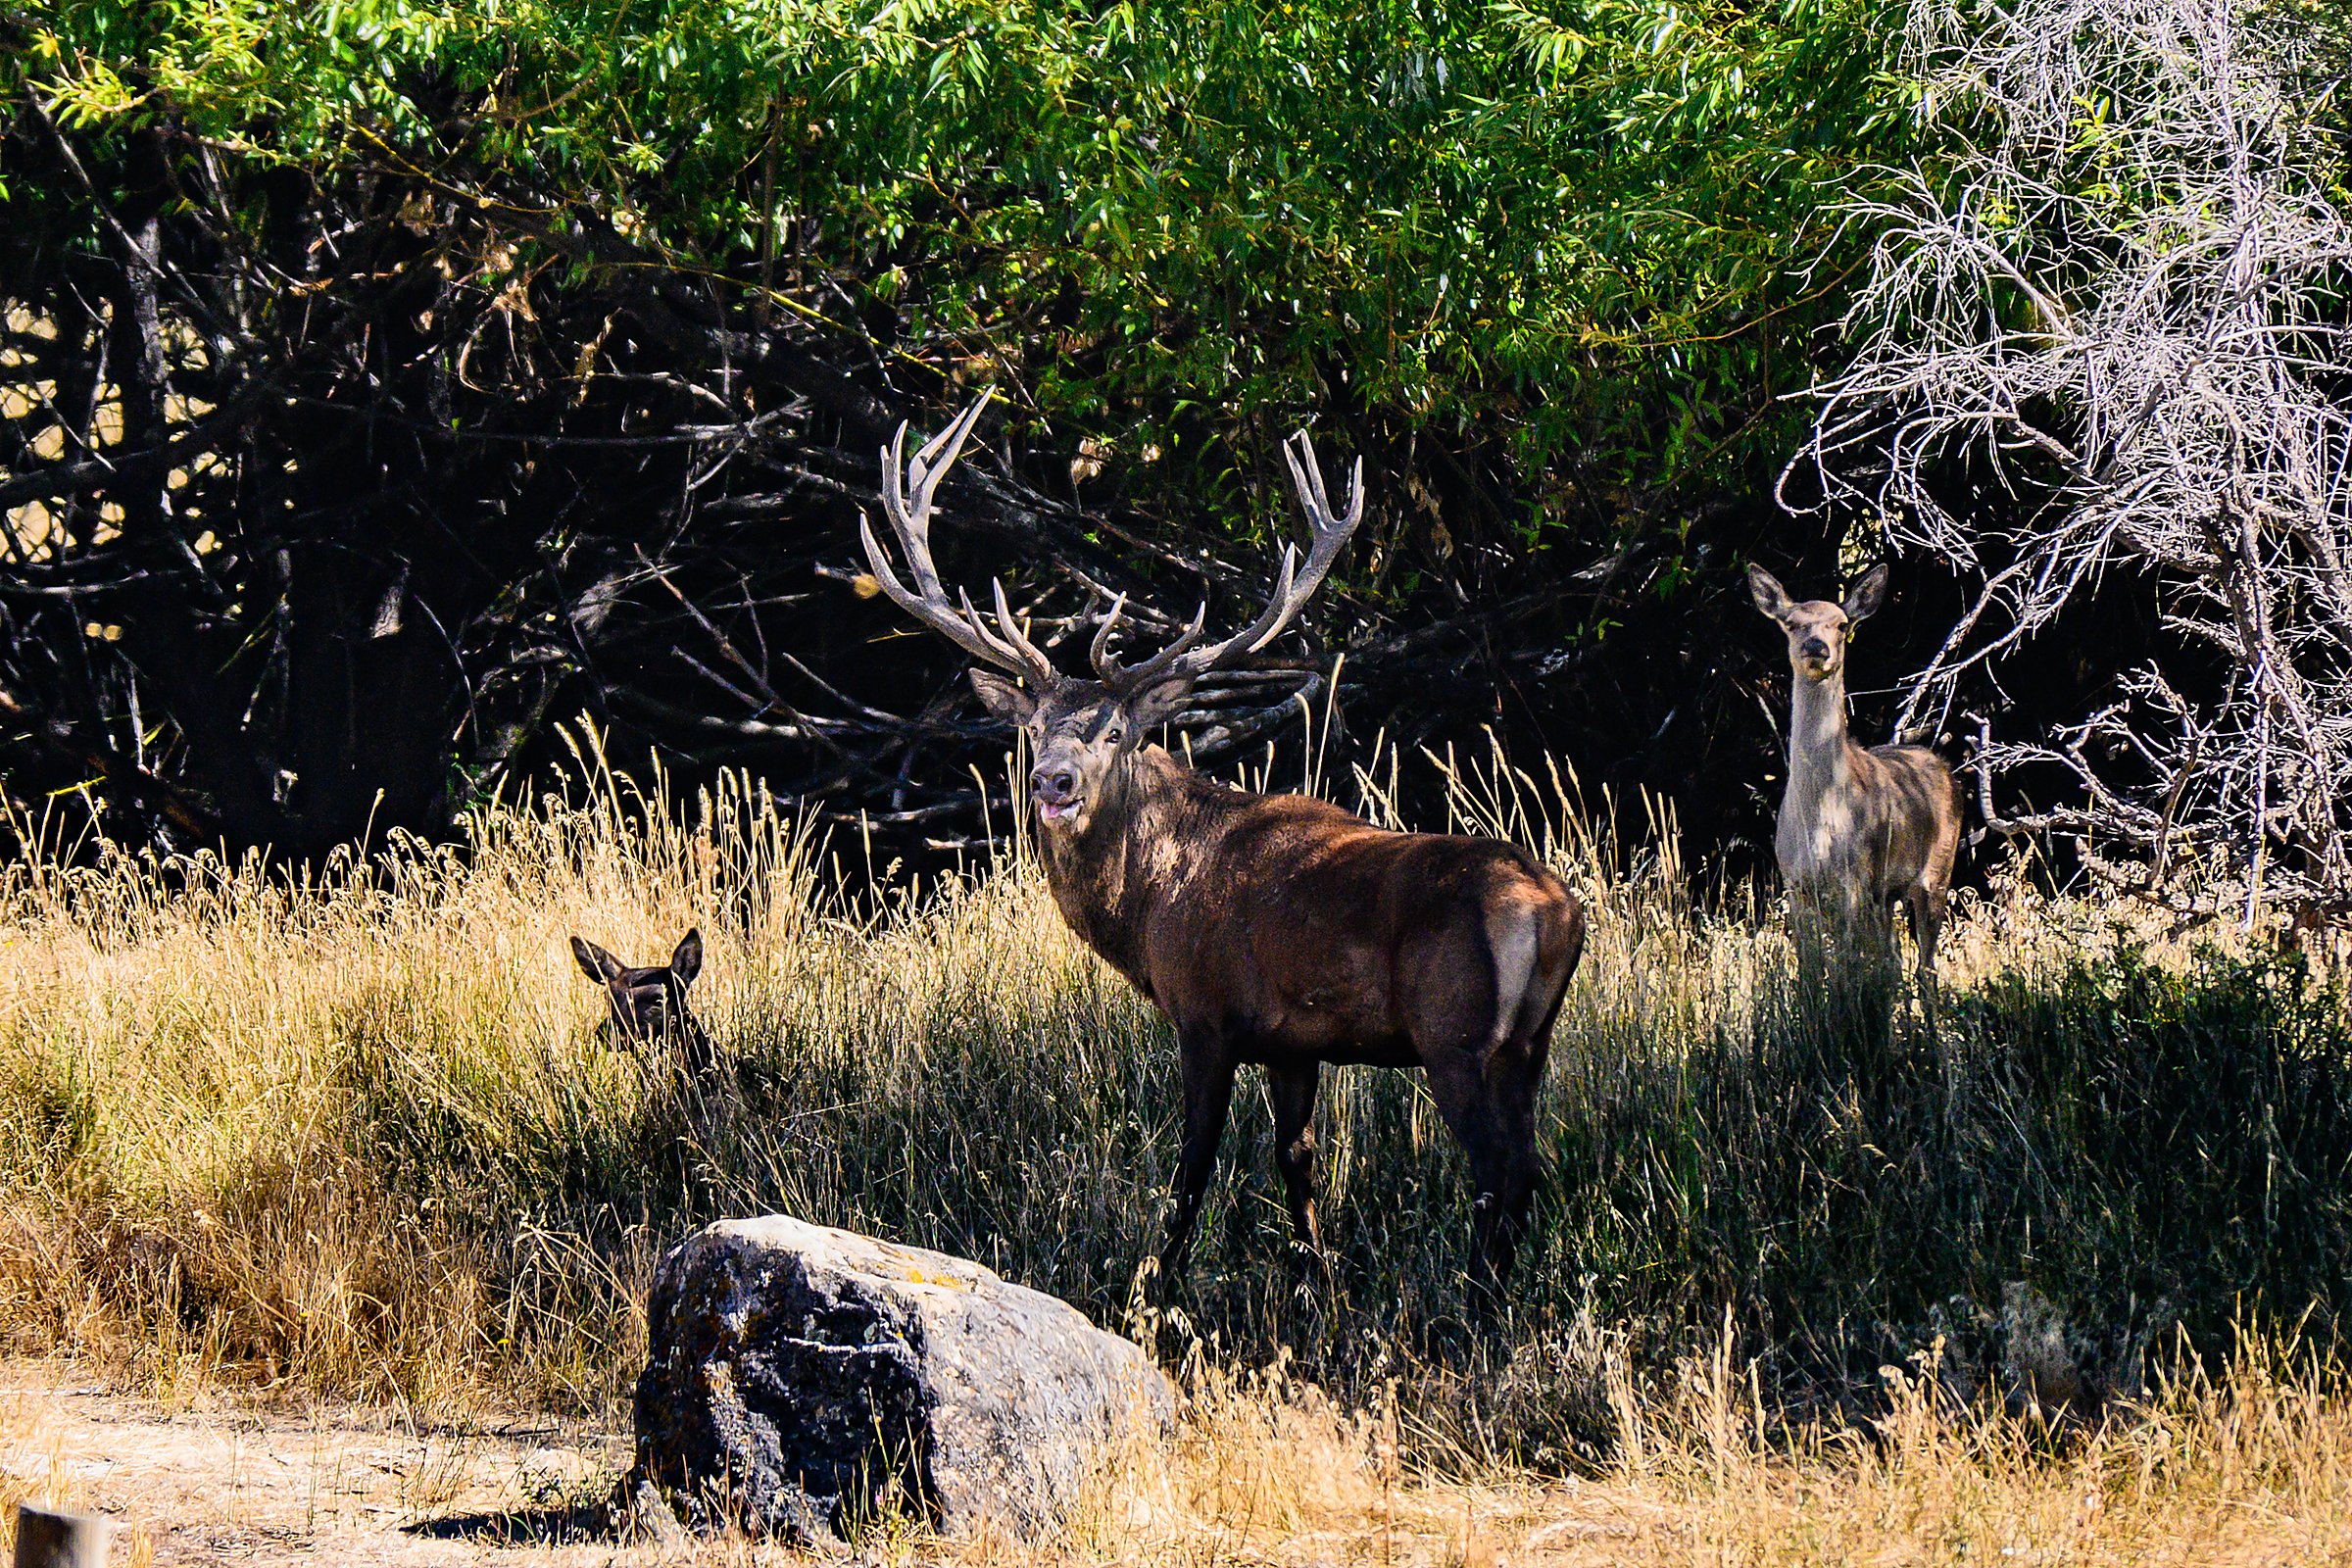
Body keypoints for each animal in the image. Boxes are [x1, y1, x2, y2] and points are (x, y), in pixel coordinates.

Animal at [859, 398, 1585, 1295]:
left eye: (1116, 731)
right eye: (1031, 727)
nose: (1052, 782)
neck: (1148, 906)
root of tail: (1553, 911)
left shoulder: (1205, 1013)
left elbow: (1191, 1172)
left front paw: (1150, 1290)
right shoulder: (1294, 1043)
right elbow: (1296, 1162)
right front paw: (1317, 1285)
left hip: (1456, 1032)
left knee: (1497, 1171)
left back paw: (1473, 1302)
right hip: (1531, 1042)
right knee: (1529, 1165)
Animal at [1748, 564, 1963, 985]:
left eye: (1842, 623)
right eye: (1792, 623)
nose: (1817, 647)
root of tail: (1947, 770)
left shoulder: (1855, 878)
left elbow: (1847, 968)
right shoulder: (1795, 882)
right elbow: (1811, 969)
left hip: (1937, 871)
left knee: (1926, 966)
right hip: (1885, 894)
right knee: (1895, 959)